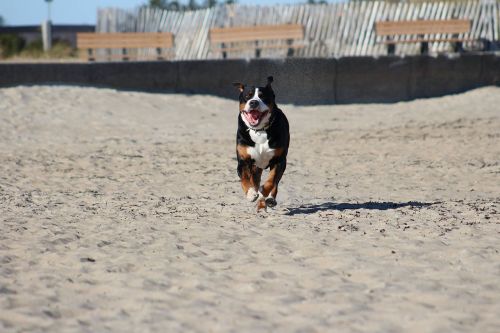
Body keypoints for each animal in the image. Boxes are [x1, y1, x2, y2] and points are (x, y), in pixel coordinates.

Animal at [233, 76, 290, 210]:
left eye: (263, 96)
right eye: (247, 96)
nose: (254, 102)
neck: (259, 131)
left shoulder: (279, 161)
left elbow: (271, 181)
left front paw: (263, 191)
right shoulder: (243, 161)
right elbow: (245, 179)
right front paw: (251, 194)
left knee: (275, 183)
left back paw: (269, 199)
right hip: (255, 168)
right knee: (254, 180)